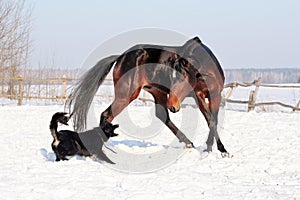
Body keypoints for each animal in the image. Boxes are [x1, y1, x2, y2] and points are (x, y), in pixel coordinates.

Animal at [69, 36, 230, 155]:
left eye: (181, 78)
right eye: (172, 77)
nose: (173, 106)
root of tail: (121, 57)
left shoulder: (215, 95)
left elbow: (212, 120)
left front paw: (211, 147)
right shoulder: (199, 96)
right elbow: (211, 120)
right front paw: (221, 150)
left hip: (157, 92)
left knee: (162, 115)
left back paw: (189, 142)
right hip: (126, 95)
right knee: (106, 114)